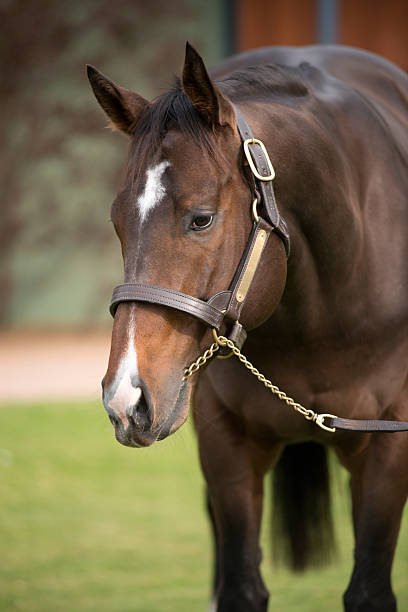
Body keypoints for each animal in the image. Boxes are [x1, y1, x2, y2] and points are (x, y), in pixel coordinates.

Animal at [87, 44, 408, 612]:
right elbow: (240, 587)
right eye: (118, 222)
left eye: (202, 219)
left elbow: (368, 591)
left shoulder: (388, 444)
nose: (127, 398)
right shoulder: (224, 443)